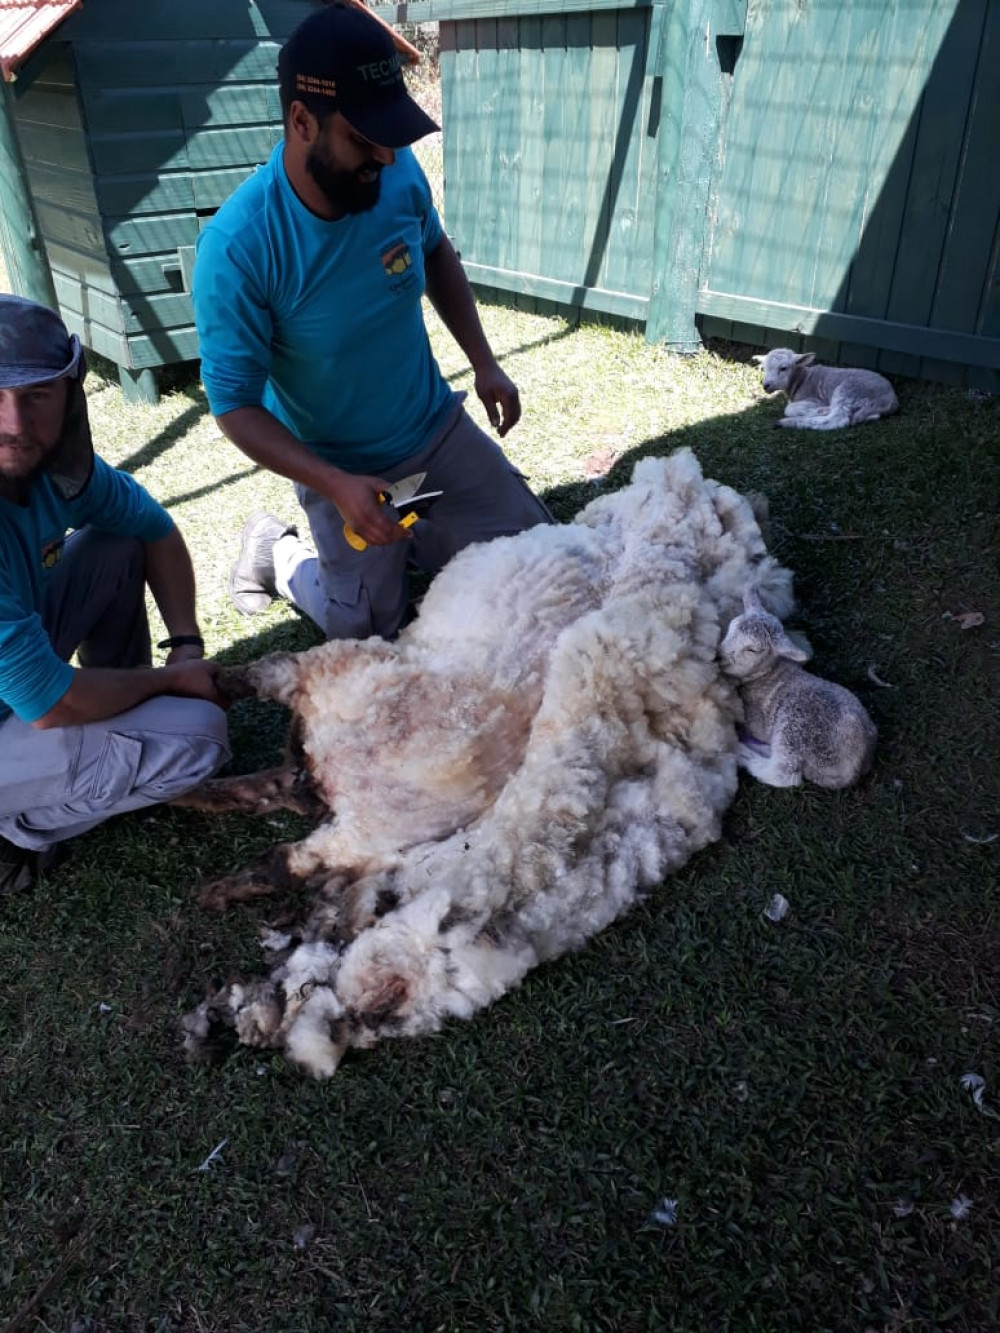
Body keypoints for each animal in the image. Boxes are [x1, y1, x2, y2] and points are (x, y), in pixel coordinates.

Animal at [757, 346, 906, 429]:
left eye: (783, 368)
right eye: (764, 368)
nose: (766, 385)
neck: (802, 379)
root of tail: (891, 400)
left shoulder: (815, 399)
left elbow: (789, 408)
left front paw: (817, 410)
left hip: (849, 391)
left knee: (837, 419)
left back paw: (789, 422)